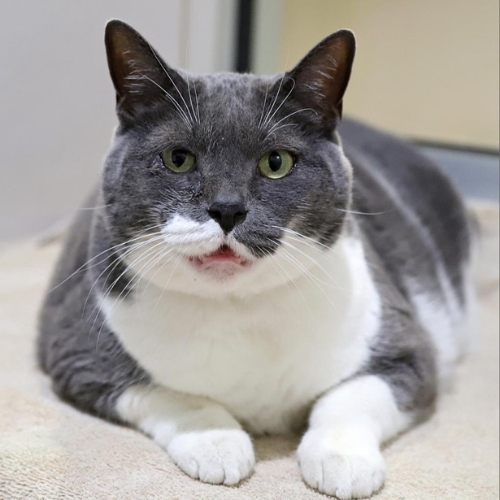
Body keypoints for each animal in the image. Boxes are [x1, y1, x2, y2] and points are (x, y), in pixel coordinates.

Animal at [37, 20, 474, 500]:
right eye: (177, 159)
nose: (227, 209)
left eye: (276, 162)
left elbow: (349, 397)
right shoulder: (79, 353)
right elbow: (172, 394)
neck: (237, 307)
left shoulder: (407, 349)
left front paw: (343, 461)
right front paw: (217, 443)